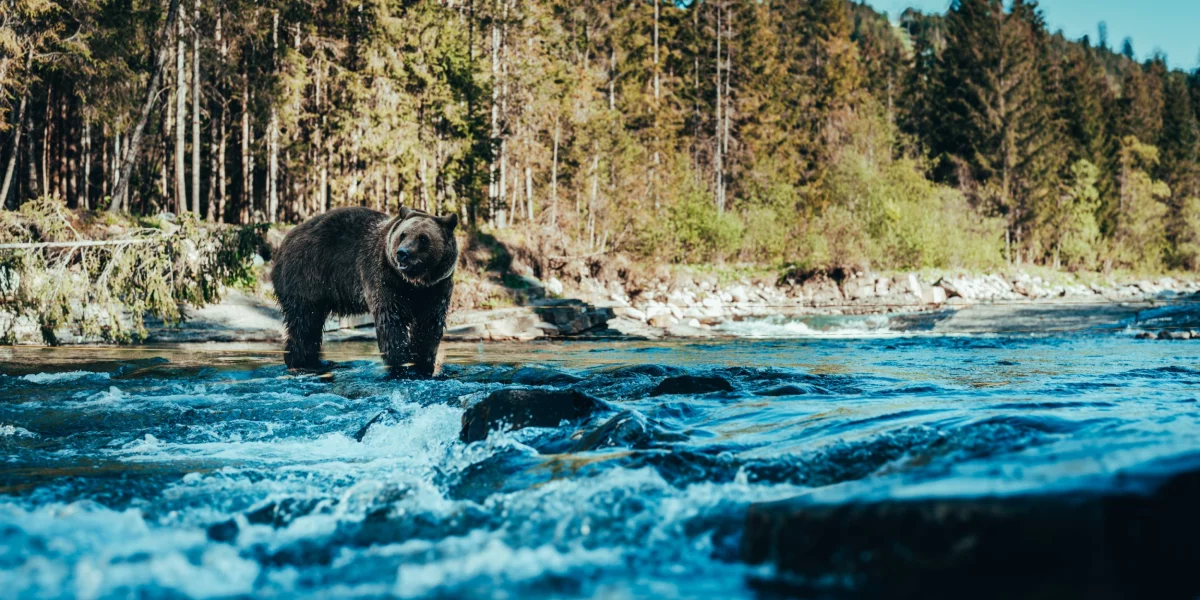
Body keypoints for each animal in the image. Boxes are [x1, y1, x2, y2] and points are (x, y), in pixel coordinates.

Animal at [272, 206, 458, 374]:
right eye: (403, 235)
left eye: (423, 238)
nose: (402, 253)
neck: (414, 283)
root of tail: (284, 241)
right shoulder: (385, 277)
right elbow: (392, 320)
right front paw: (400, 364)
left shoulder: (437, 287)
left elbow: (429, 324)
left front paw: (422, 365)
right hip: (306, 274)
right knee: (304, 322)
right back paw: (301, 362)